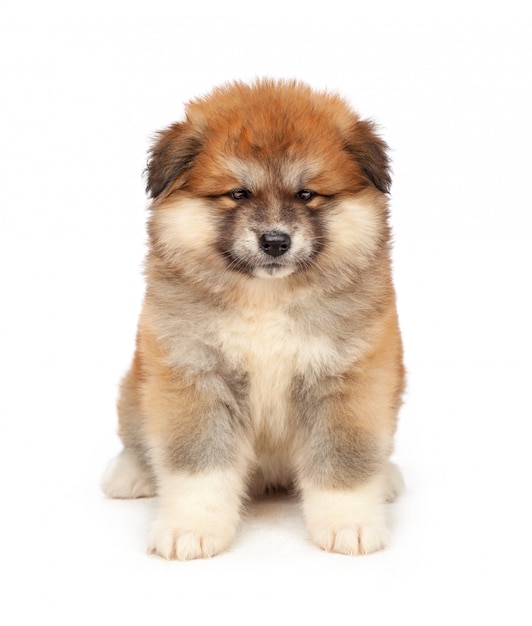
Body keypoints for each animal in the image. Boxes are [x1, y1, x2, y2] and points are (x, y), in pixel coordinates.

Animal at [102, 79, 406, 560]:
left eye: (306, 194)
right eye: (238, 193)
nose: (275, 241)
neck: (267, 298)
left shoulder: (349, 380)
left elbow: (345, 461)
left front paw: (350, 523)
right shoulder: (195, 375)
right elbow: (198, 465)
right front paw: (191, 528)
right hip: (137, 386)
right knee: (135, 437)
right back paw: (129, 474)